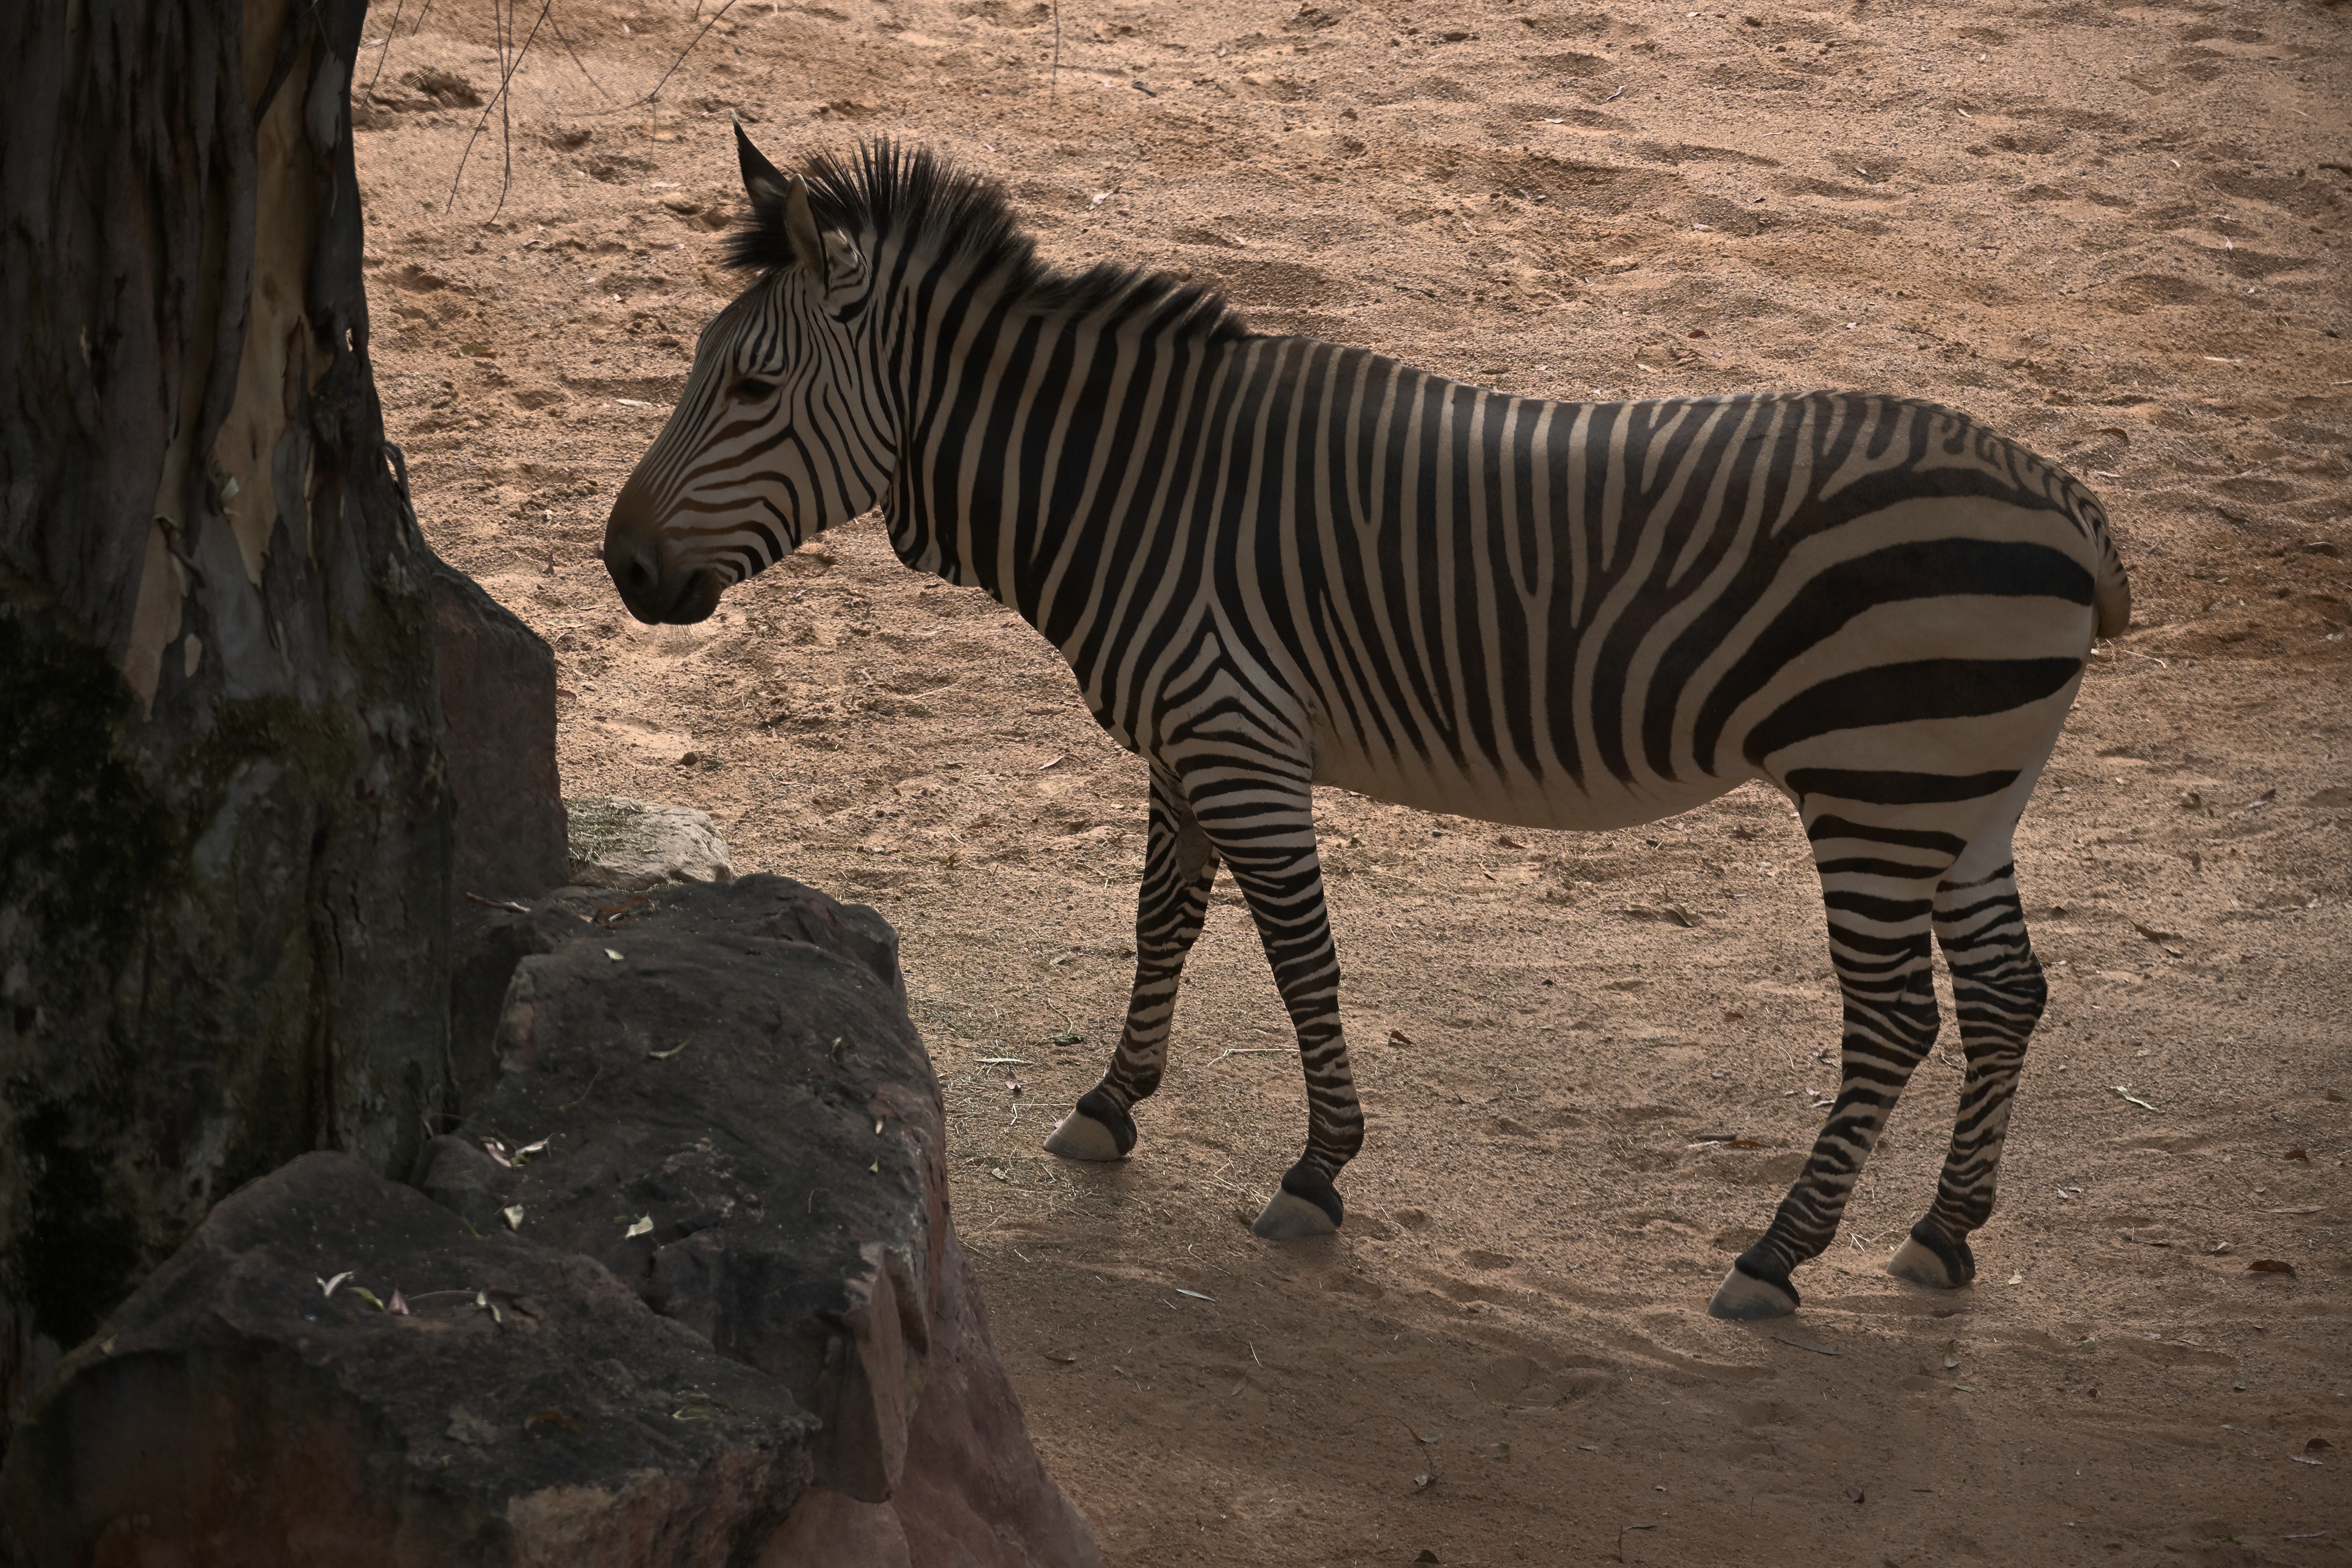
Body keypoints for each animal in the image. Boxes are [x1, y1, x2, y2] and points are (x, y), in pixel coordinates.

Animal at [603, 132, 2131, 1322]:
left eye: (749, 389)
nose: (619, 566)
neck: (1127, 488)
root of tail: (2063, 501)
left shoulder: (1237, 736)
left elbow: (1299, 956)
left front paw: (1316, 1168)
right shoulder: (1185, 739)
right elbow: (1164, 920)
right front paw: (1111, 1105)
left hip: (1877, 782)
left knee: (1893, 1019)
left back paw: (1777, 1256)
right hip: (1964, 795)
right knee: (2007, 993)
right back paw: (1941, 1234)